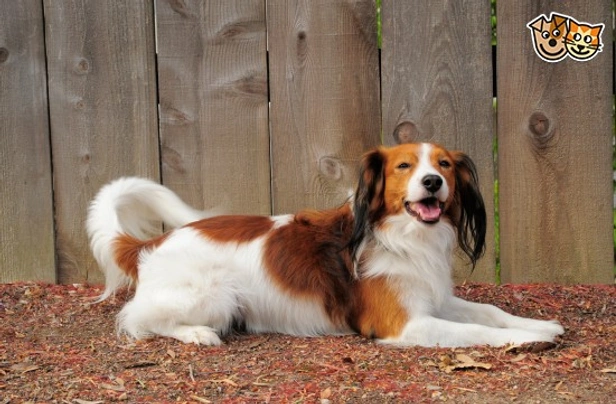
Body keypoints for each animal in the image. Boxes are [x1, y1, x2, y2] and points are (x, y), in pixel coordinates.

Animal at [86, 143, 564, 348]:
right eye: (404, 166)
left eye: (444, 164)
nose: (432, 182)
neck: (401, 235)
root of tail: (154, 241)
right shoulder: (404, 324)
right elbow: (477, 331)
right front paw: (526, 339)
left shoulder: (432, 299)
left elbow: (488, 311)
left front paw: (537, 324)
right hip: (214, 295)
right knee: (138, 319)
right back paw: (197, 333)